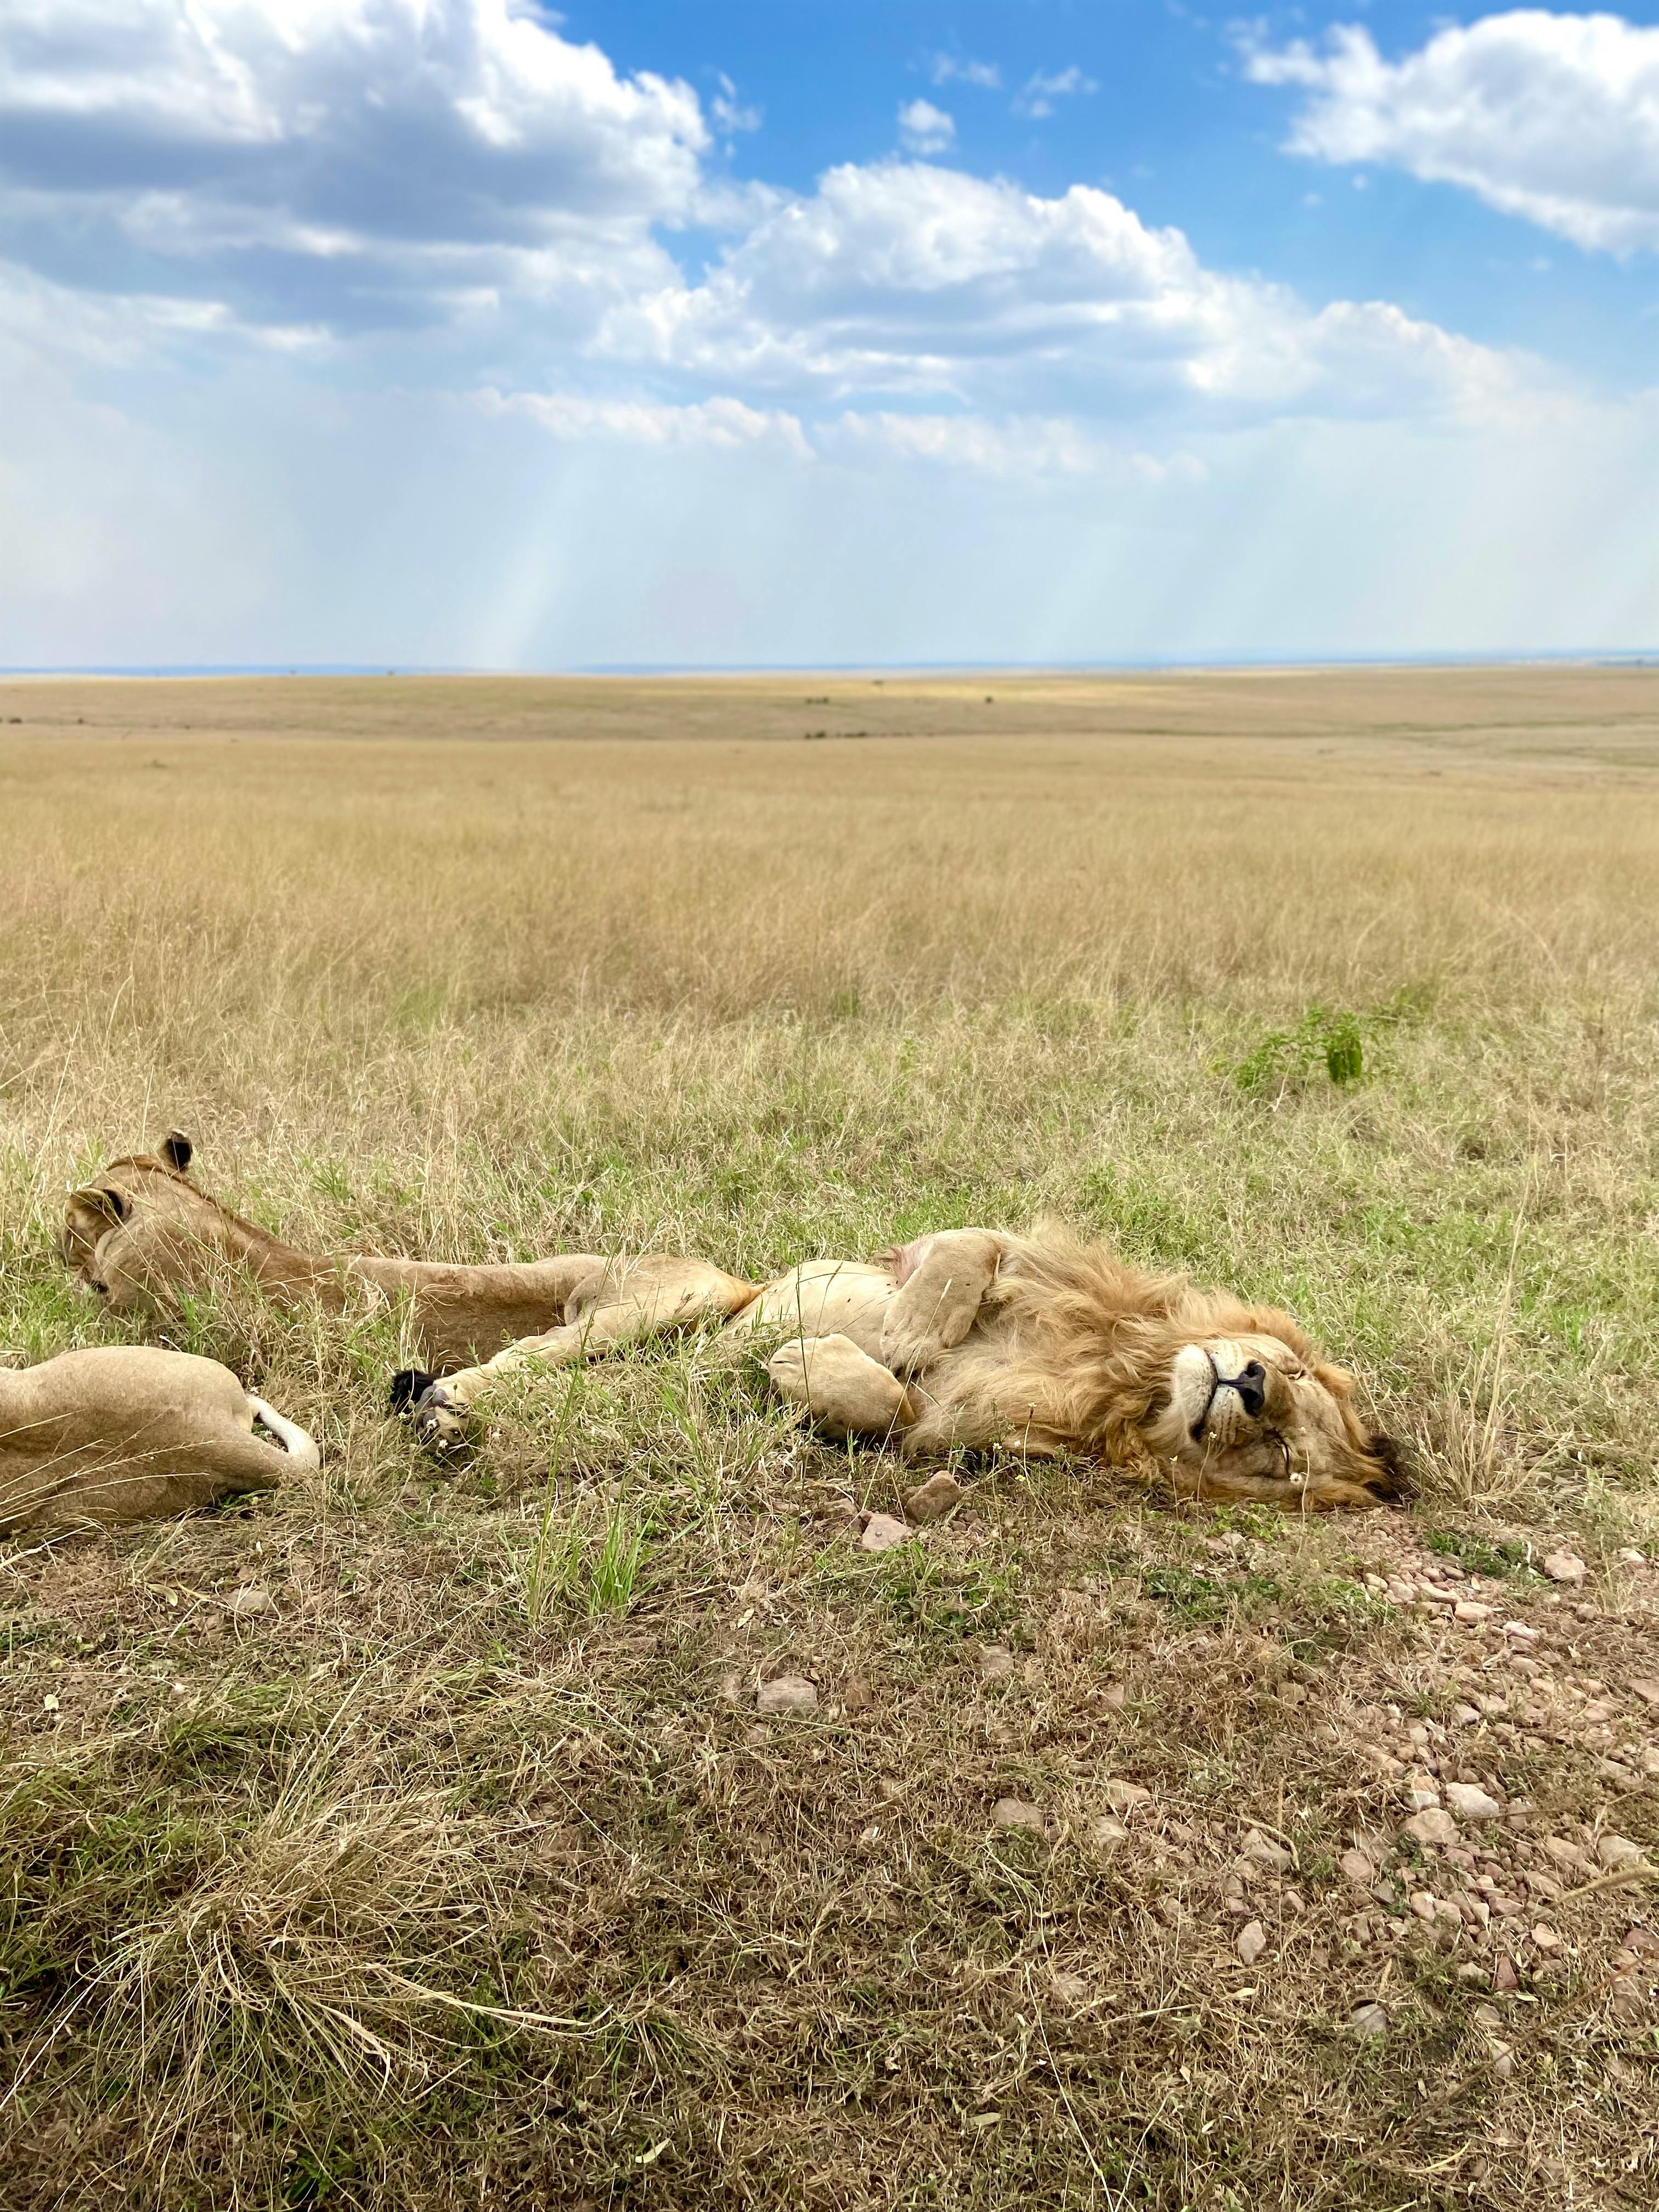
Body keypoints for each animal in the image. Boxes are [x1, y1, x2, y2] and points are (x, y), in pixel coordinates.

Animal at [398, 1224, 1407, 1512]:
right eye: (1296, 1379)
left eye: (1281, 1457)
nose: (1252, 1387)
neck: (1124, 1387)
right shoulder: (995, 1254)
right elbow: (960, 1261)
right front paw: (901, 1332)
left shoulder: (959, 1428)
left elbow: (888, 1406)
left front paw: (802, 1366)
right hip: (680, 1294)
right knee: (531, 1354)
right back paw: (446, 1404)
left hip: (642, 1370)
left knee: (593, 1390)